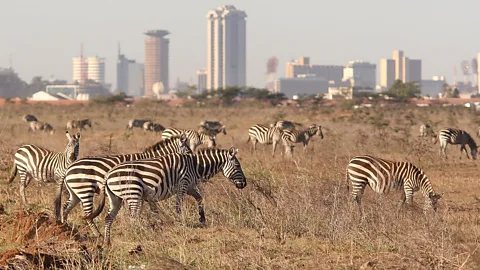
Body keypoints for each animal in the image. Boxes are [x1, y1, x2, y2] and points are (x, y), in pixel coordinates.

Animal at [62, 134, 191, 234]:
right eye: (188, 150)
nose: (192, 157)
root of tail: (69, 168)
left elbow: (143, 209)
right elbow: (140, 210)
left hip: (75, 193)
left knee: (65, 208)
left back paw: (64, 228)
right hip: (85, 190)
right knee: (87, 215)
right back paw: (98, 234)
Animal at [95, 148, 246, 247]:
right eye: (237, 165)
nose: (245, 184)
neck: (195, 166)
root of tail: (108, 175)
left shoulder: (189, 186)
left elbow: (199, 198)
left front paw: (202, 217)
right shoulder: (183, 185)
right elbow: (179, 206)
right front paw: (181, 222)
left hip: (115, 198)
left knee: (109, 217)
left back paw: (107, 241)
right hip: (133, 192)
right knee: (132, 217)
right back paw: (139, 233)